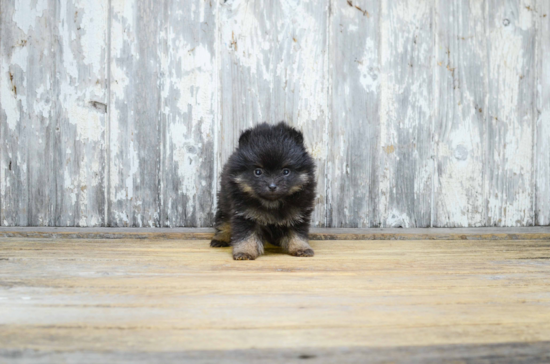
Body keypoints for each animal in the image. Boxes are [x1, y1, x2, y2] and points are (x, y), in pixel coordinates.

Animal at [211, 121, 316, 258]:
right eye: (258, 172)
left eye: (286, 171)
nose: (272, 186)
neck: (272, 203)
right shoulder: (245, 214)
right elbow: (246, 235)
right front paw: (245, 251)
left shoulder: (298, 213)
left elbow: (297, 233)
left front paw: (301, 247)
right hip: (225, 201)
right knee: (224, 221)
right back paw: (220, 238)